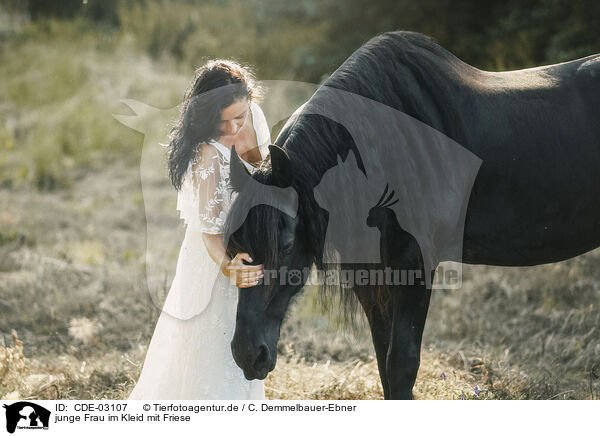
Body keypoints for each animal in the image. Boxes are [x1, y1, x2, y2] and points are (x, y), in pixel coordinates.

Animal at [223, 29, 596, 398]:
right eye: (232, 246)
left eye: (285, 245)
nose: (248, 355)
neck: (385, 151)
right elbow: (384, 363)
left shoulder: (415, 264)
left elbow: (401, 365)